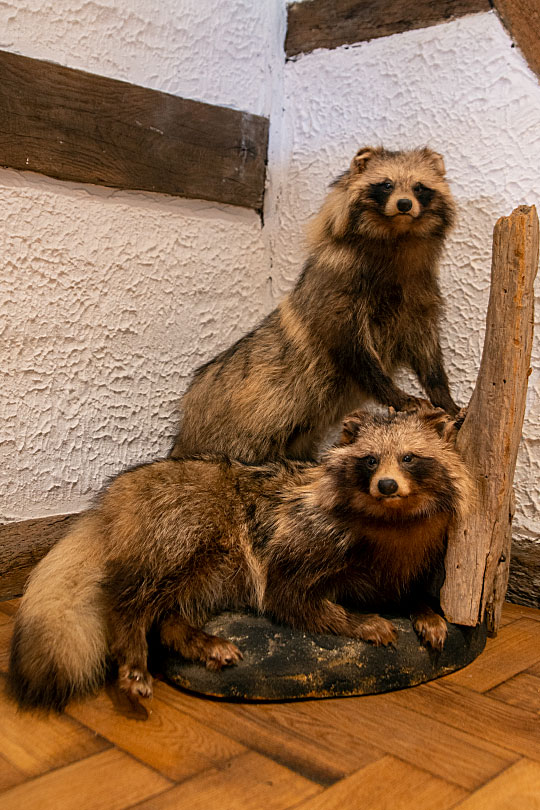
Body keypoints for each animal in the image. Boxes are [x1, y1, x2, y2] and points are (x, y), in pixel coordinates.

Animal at [10, 404, 470, 708]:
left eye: (409, 457)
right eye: (370, 460)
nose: (387, 485)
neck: (391, 523)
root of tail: (116, 496)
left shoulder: (409, 559)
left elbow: (405, 590)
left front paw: (424, 609)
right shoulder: (299, 544)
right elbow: (291, 599)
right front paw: (359, 621)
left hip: (213, 570)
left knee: (171, 612)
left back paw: (191, 636)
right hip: (183, 527)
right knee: (133, 599)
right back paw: (134, 646)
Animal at [171, 145, 458, 460]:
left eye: (419, 187)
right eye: (386, 184)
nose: (405, 204)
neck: (397, 238)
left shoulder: (417, 296)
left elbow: (426, 352)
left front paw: (444, 396)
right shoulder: (336, 293)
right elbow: (357, 355)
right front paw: (396, 394)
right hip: (241, 420)